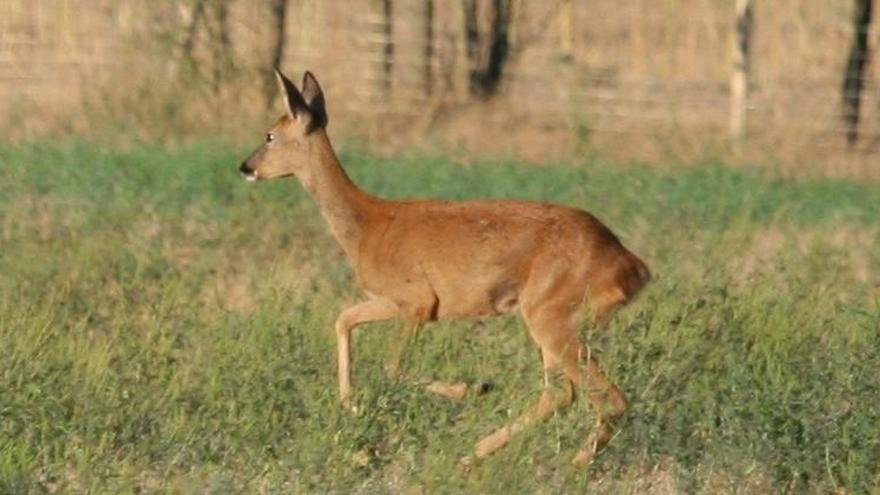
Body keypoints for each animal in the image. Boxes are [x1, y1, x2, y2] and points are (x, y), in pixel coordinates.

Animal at [237, 70, 648, 468]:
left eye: (270, 135)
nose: (245, 167)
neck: (366, 228)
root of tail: (631, 266)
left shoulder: (417, 299)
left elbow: (390, 365)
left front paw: (473, 387)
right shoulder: (390, 299)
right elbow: (344, 320)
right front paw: (351, 406)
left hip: (553, 310)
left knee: (603, 395)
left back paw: (573, 462)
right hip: (555, 316)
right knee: (561, 392)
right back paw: (478, 453)